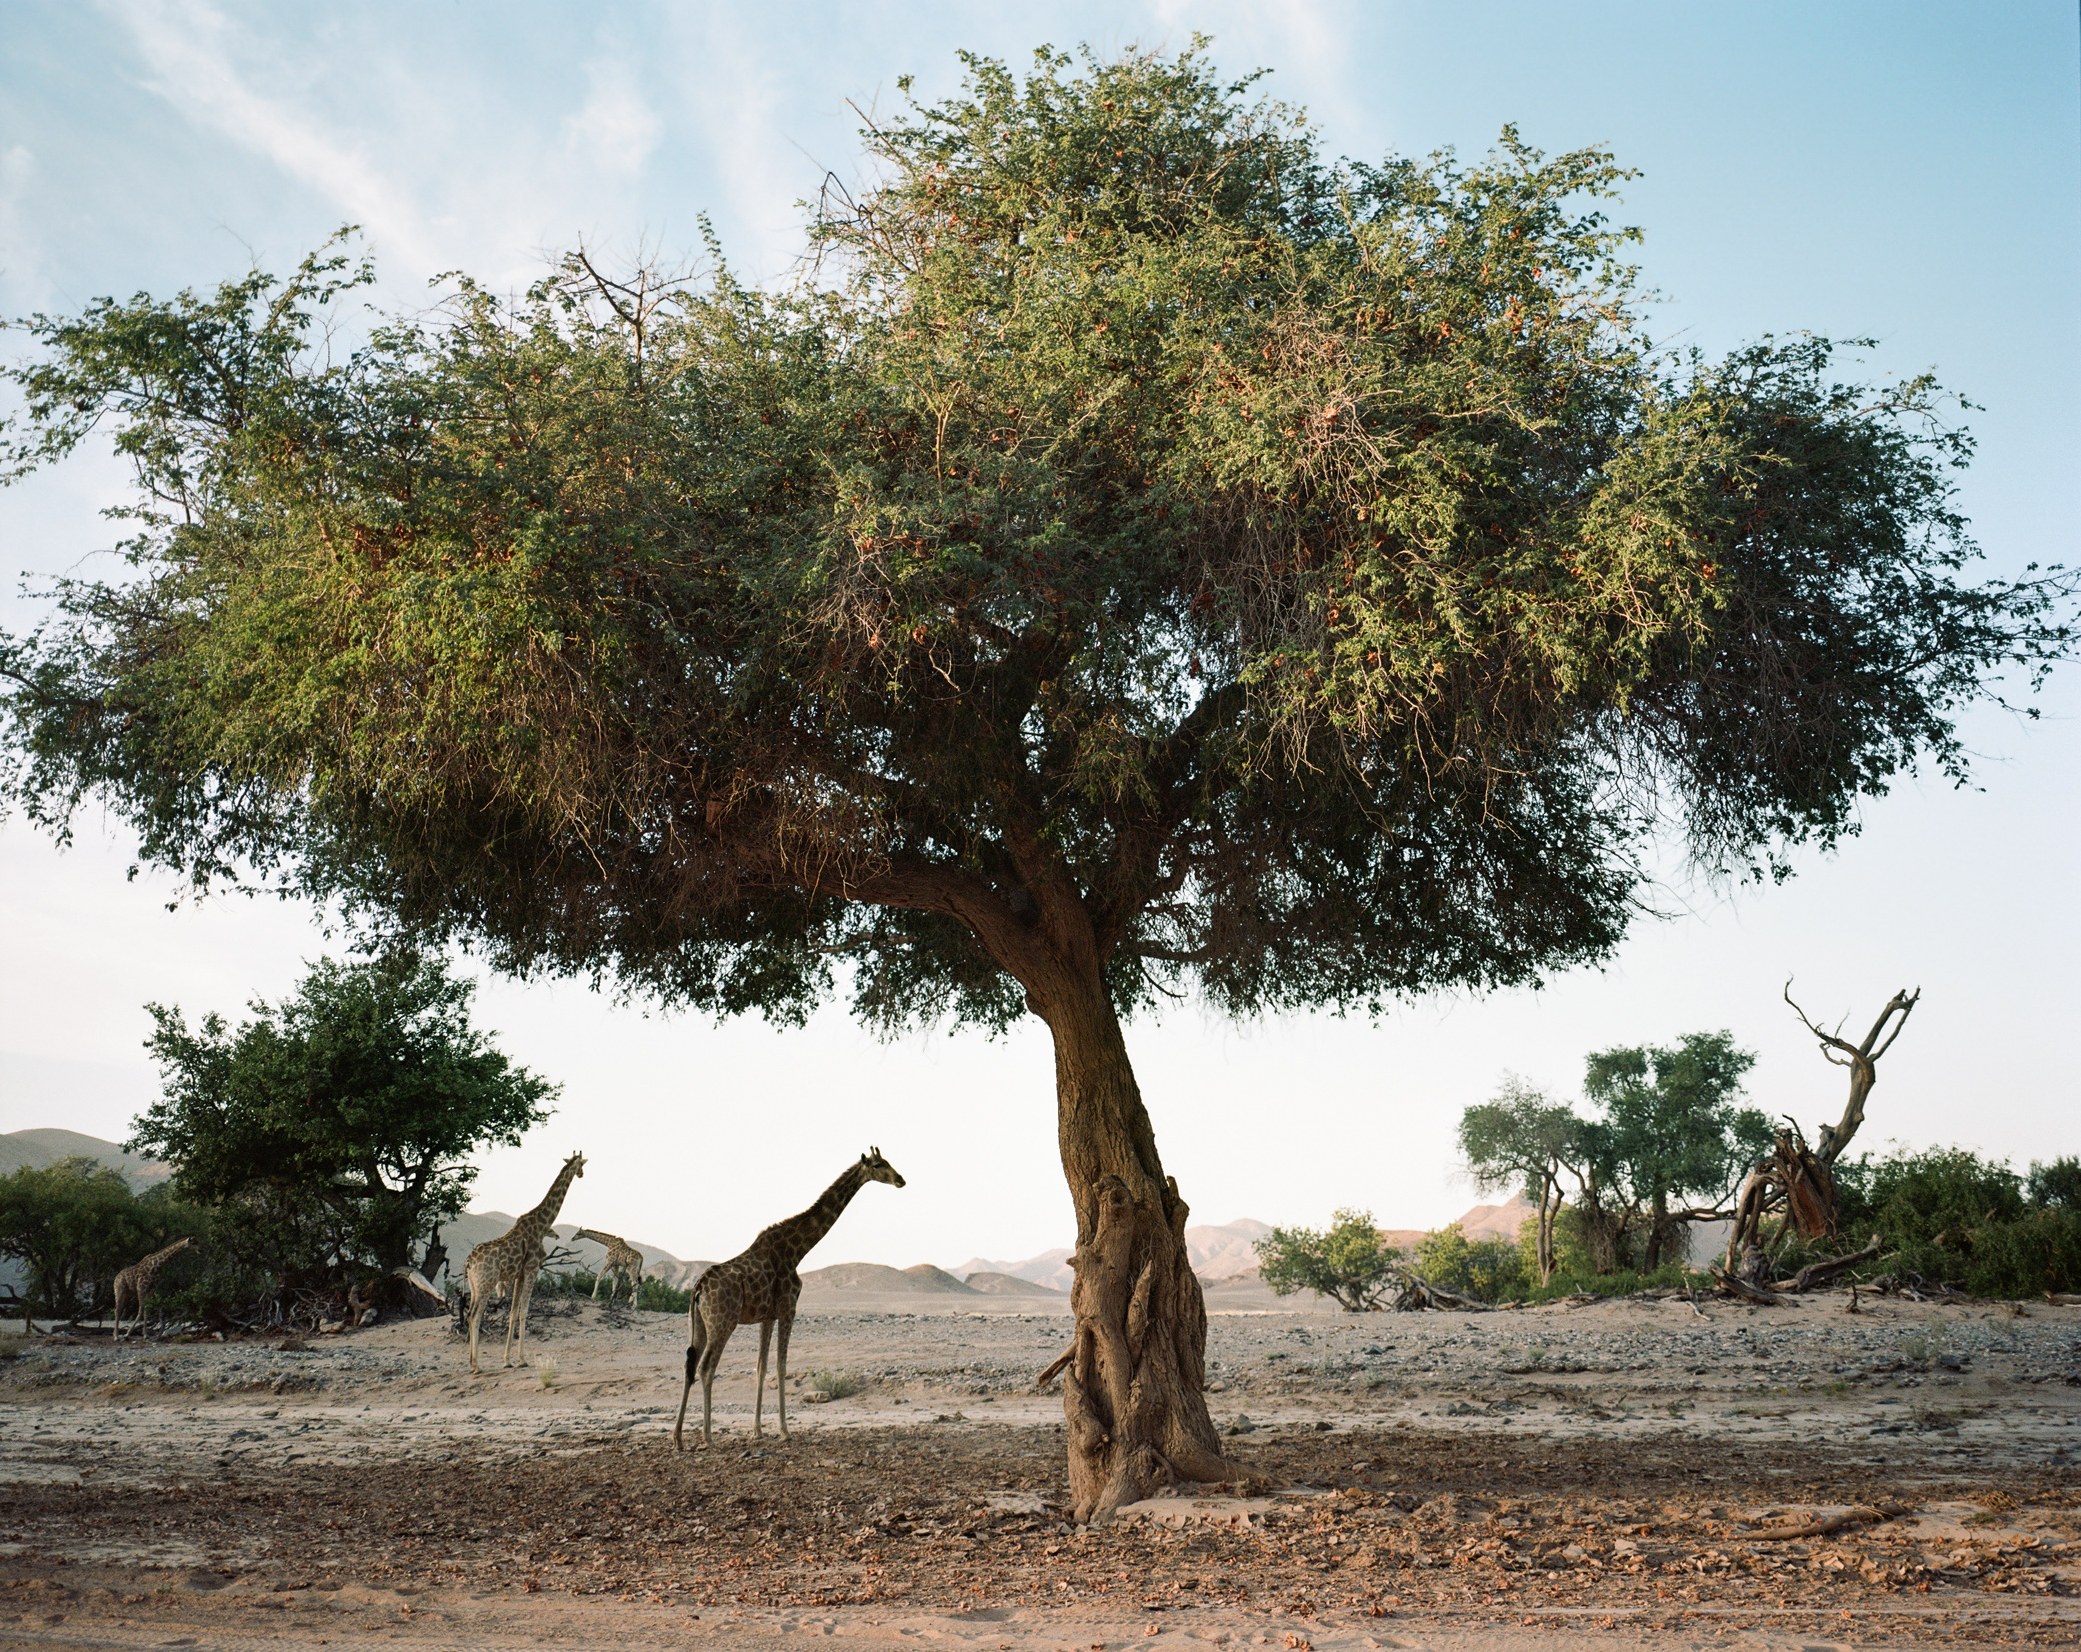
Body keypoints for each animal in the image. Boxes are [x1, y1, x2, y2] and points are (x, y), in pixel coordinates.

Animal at [463, 1152, 585, 1373]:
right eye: (582, 1163)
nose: (581, 1174)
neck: (542, 1224)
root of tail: (469, 1262)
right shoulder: (532, 1268)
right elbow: (524, 1311)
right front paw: (522, 1359)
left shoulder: (519, 1274)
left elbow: (512, 1312)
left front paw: (507, 1360)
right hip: (486, 1283)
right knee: (475, 1315)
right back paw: (476, 1365)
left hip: (474, 1285)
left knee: (468, 1314)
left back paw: (471, 1362)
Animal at [673, 1148, 905, 1451]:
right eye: (879, 1165)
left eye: (889, 1162)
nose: (901, 1179)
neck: (798, 1251)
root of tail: (698, 1288)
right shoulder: (788, 1309)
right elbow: (781, 1367)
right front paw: (785, 1431)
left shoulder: (767, 1316)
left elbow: (761, 1367)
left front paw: (758, 1430)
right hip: (722, 1322)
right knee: (706, 1367)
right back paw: (708, 1436)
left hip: (699, 1324)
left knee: (689, 1365)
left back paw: (678, 1438)